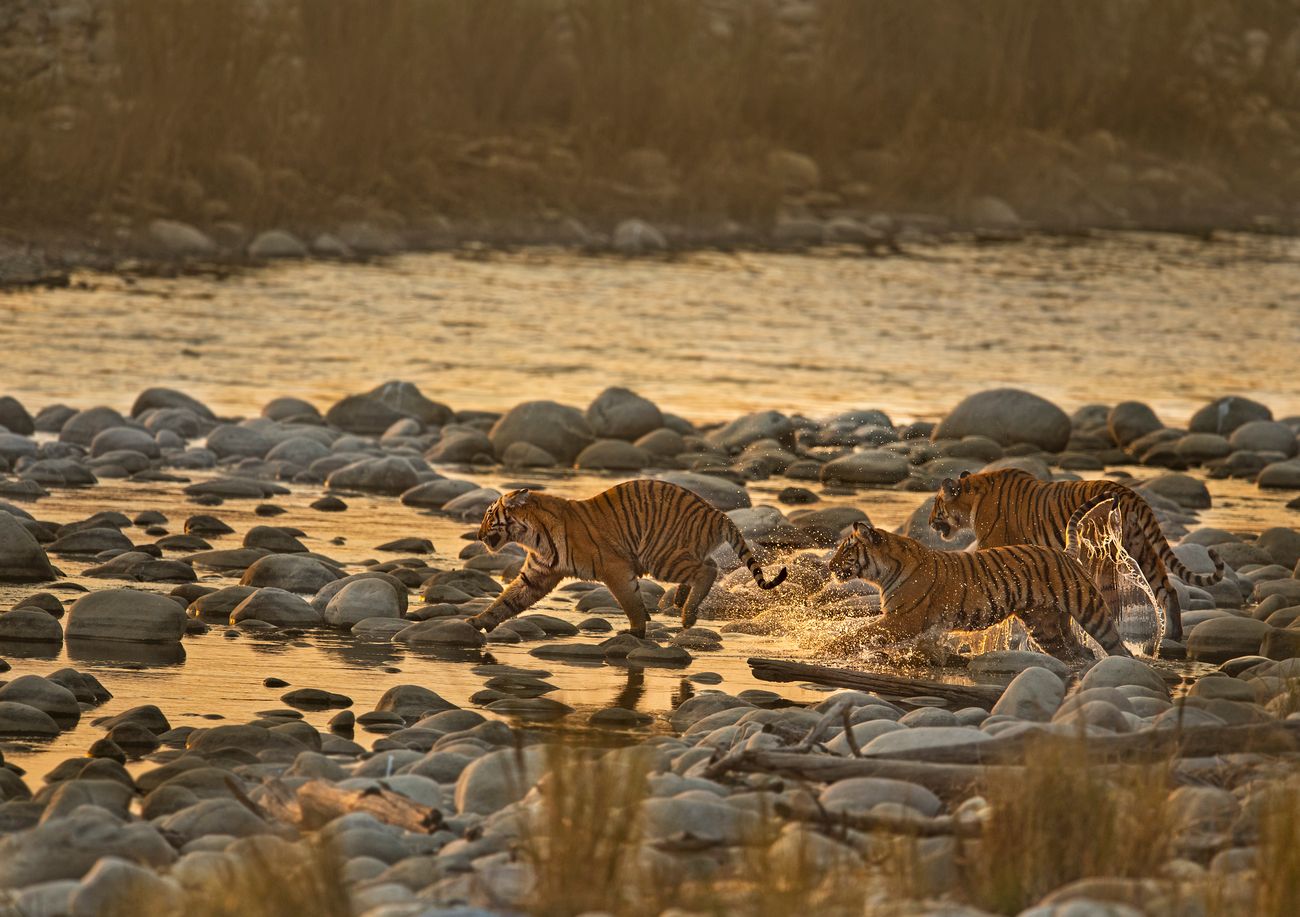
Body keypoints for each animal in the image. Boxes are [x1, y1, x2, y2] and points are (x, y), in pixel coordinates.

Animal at [470, 478, 785, 637]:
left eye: (489, 515)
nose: (478, 535)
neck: (534, 536)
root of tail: (715, 512)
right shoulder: (537, 575)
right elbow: (506, 601)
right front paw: (477, 622)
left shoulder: (615, 568)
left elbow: (631, 603)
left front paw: (635, 631)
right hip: (676, 554)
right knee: (708, 564)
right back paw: (682, 600)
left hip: (660, 555)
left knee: (707, 570)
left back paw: (687, 616)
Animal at [826, 494, 1133, 658]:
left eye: (847, 549)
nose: (829, 565)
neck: (883, 572)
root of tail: (1066, 552)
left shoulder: (903, 619)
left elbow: (859, 632)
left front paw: (825, 647)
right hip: (1045, 626)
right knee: (1078, 653)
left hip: (1091, 610)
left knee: (1119, 648)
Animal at [930, 468, 1222, 639]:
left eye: (936, 504)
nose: (931, 522)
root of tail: (1130, 493)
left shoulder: (992, 543)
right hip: (1142, 550)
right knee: (1167, 590)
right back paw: (1173, 636)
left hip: (1108, 553)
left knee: (1113, 603)